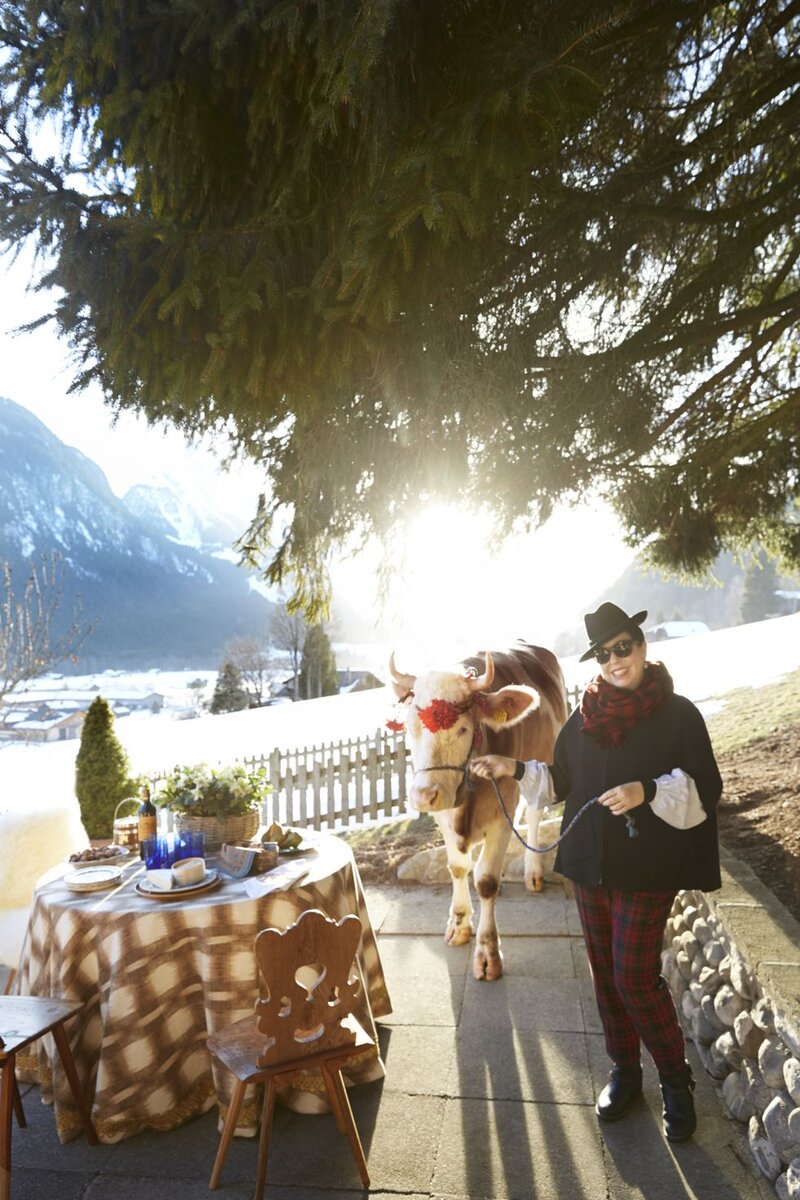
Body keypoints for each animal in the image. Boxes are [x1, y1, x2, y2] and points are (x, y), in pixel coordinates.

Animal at [388, 643, 566, 979]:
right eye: (410, 728)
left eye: (462, 729)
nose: (423, 795)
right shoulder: (444, 814)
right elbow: (458, 868)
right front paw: (459, 925)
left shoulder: (500, 811)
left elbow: (485, 881)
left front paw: (487, 954)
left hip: (544, 759)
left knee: (534, 814)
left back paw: (533, 872)